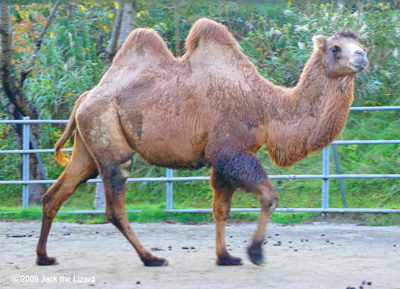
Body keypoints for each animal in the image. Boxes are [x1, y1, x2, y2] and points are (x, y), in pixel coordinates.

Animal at [36, 18, 368, 266]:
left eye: (361, 44)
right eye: (335, 48)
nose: (362, 56)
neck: (266, 107)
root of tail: (84, 97)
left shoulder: (224, 157)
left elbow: (220, 208)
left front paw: (226, 256)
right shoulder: (229, 150)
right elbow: (269, 196)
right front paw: (254, 252)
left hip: (87, 143)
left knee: (56, 193)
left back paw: (44, 257)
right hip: (106, 132)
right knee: (115, 199)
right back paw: (151, 258)